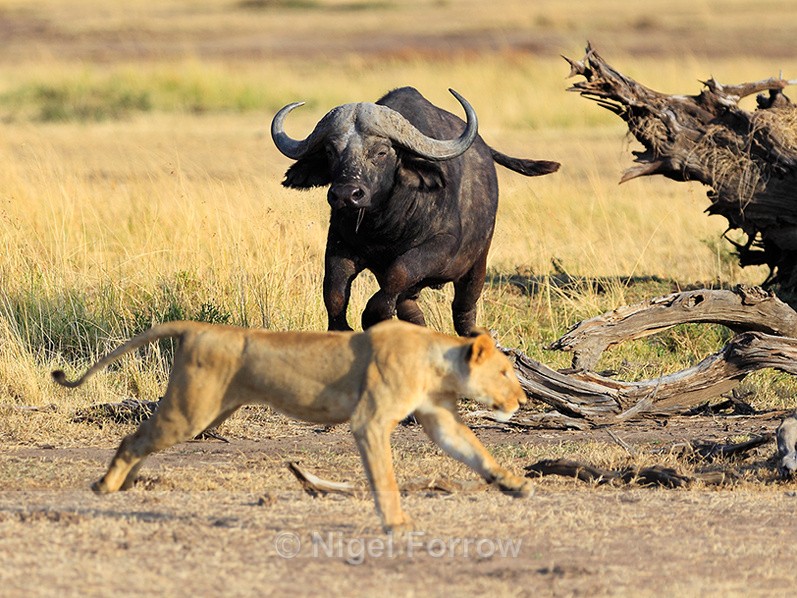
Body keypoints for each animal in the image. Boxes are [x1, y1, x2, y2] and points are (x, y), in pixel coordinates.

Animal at [52, 319, 531, 532]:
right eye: (506, 371)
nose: (523, 400)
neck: (438, 363)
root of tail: (197, 327)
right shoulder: (370, 420)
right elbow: (384, 477)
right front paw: (396, 523)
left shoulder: (438, 417)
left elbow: (475, 451)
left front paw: (513, 485)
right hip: (191, 411)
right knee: (133, 438)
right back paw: (106, 486)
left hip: (204, 411)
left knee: (143, 440)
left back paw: (124, 485)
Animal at [271, 86, 559, 335]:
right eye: (331, 151)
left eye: (381, 152)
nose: (345, 194)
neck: (383, 226)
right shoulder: (339, 246)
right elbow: (333, 292)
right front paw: (341, 327)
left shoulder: (442, 247)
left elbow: (397, 273)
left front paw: (373, 317)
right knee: (411, 309)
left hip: (477, 263)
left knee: (463, 309)